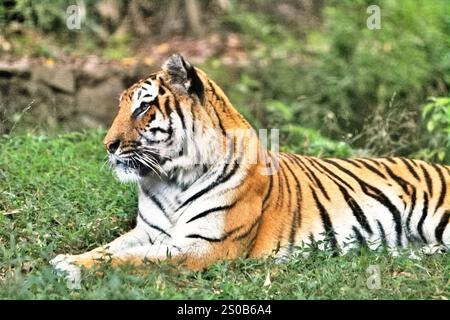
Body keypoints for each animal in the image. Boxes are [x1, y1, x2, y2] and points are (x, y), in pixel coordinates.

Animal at [51, 53, 448, 286]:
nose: (108, 145)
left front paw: (69, 268)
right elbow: (109, 249)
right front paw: (69, 258)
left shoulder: (205, 245)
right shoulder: (149, 232)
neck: (171, 179)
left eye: (143, 107)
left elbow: (134, 261)